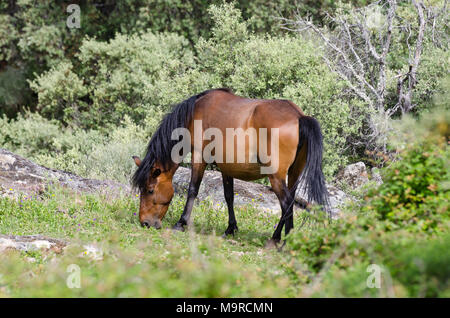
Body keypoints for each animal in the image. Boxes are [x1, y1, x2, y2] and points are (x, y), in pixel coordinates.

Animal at [132, 88, 328, 245]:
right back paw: (277, 238)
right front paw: (230, 228)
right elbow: (229, 197)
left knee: (286, 204)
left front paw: (181, 223)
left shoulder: (199, 157)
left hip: (276, 177)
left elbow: (193, 190)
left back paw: (283, 241)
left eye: (149, 190)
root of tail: (299, 116)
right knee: (289, 202)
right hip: (294, 173)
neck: (196, 112)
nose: (145, 223)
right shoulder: (227, 167)